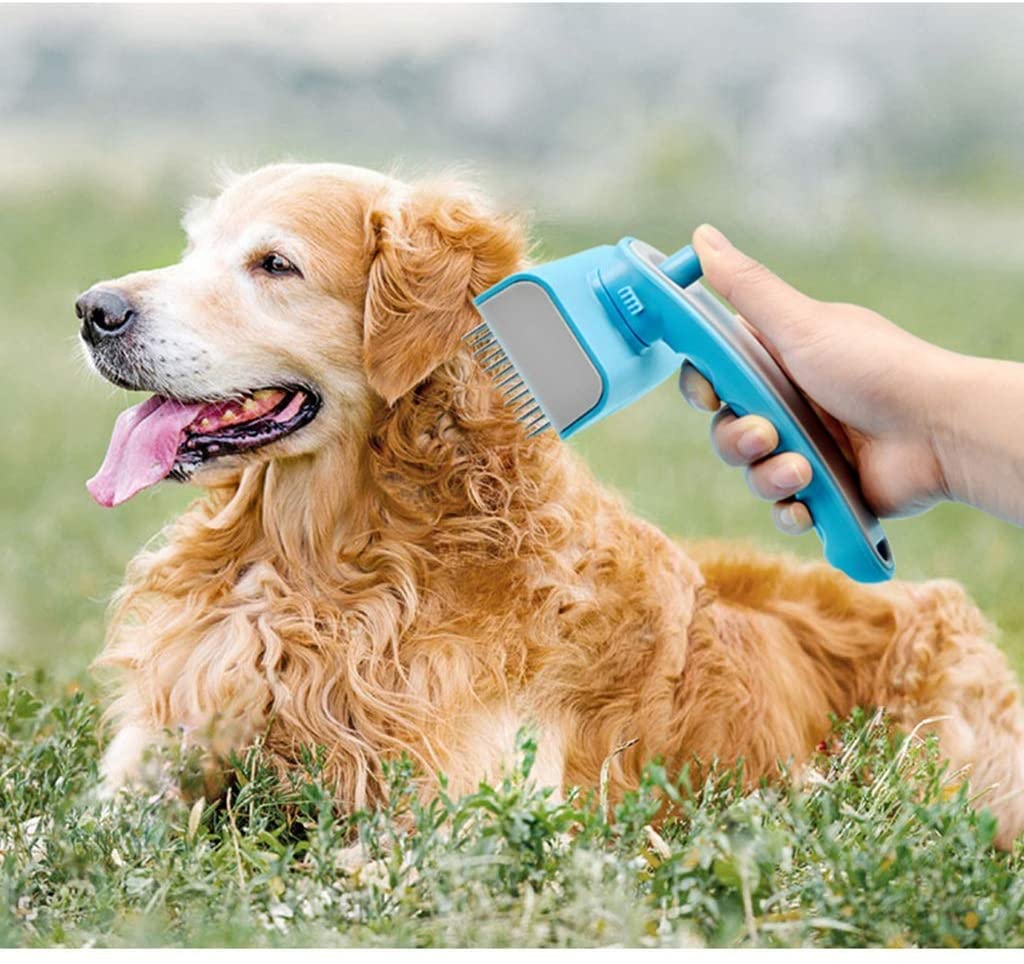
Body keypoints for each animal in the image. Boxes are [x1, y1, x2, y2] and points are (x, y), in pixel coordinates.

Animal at [75, 161, 1024, 848]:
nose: (93, 309)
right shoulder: (147, 768)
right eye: (193, 248)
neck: (326, 565)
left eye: (274, 264)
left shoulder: (456, 823)